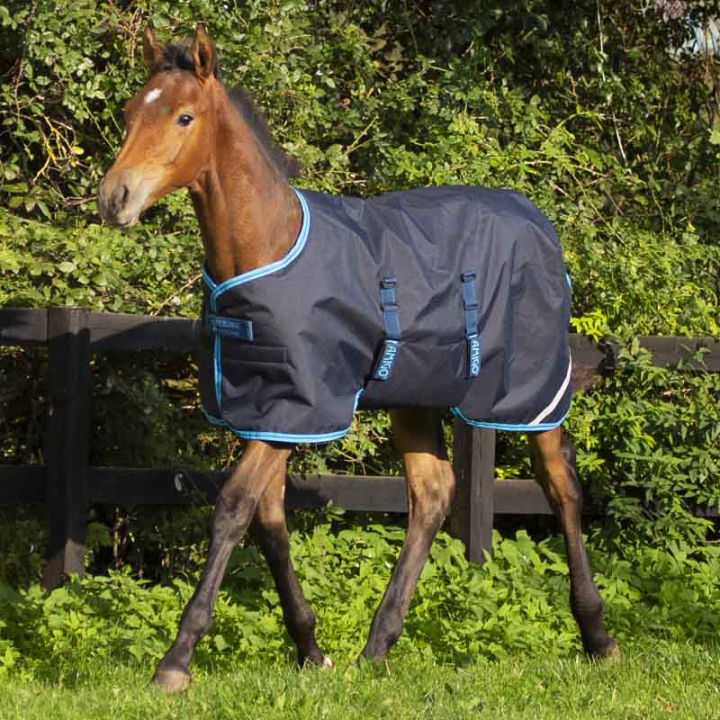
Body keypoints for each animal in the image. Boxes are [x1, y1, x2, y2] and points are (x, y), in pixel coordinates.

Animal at [98, 26, 618, 692]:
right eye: (130, 112)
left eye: (184, 116)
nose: (115, 198)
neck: (267, 247)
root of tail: (537, 221)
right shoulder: (269, 409)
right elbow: (268, 519)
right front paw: (310, 649)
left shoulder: (300, 407)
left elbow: (233, 509)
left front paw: (176, 660)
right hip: (415, 396)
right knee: (433, 494)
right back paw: (377, 647)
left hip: (532, 392)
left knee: (561, 488)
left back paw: (598, 636)